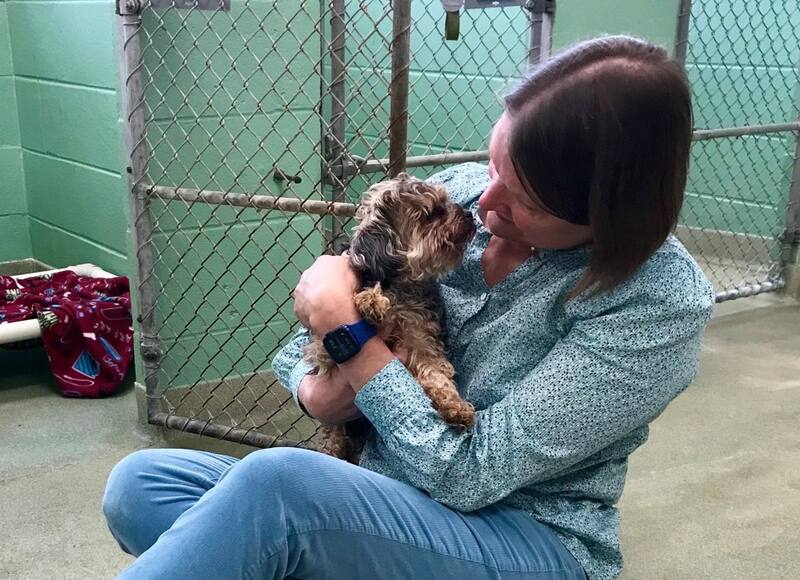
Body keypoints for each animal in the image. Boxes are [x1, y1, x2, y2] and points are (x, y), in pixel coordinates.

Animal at [303, 173, 477, 465]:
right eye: (433, 212)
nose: (469, 214)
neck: (400, 283)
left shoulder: (422, 340)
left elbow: (437, 374)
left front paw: (455, 407)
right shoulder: (322, 350)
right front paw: (371, 300)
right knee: (332, 438)